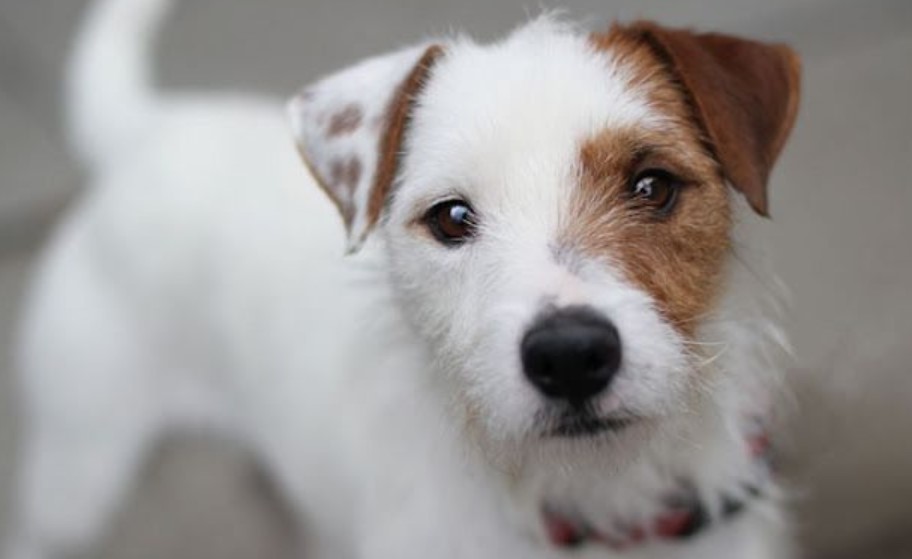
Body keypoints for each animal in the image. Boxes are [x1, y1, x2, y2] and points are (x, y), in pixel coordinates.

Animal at [3, 1, 800, 559]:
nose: (570, 354)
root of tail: (150, 135)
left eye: (652, 186)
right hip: (81, 465)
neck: (585, 495)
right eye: (451, 217)